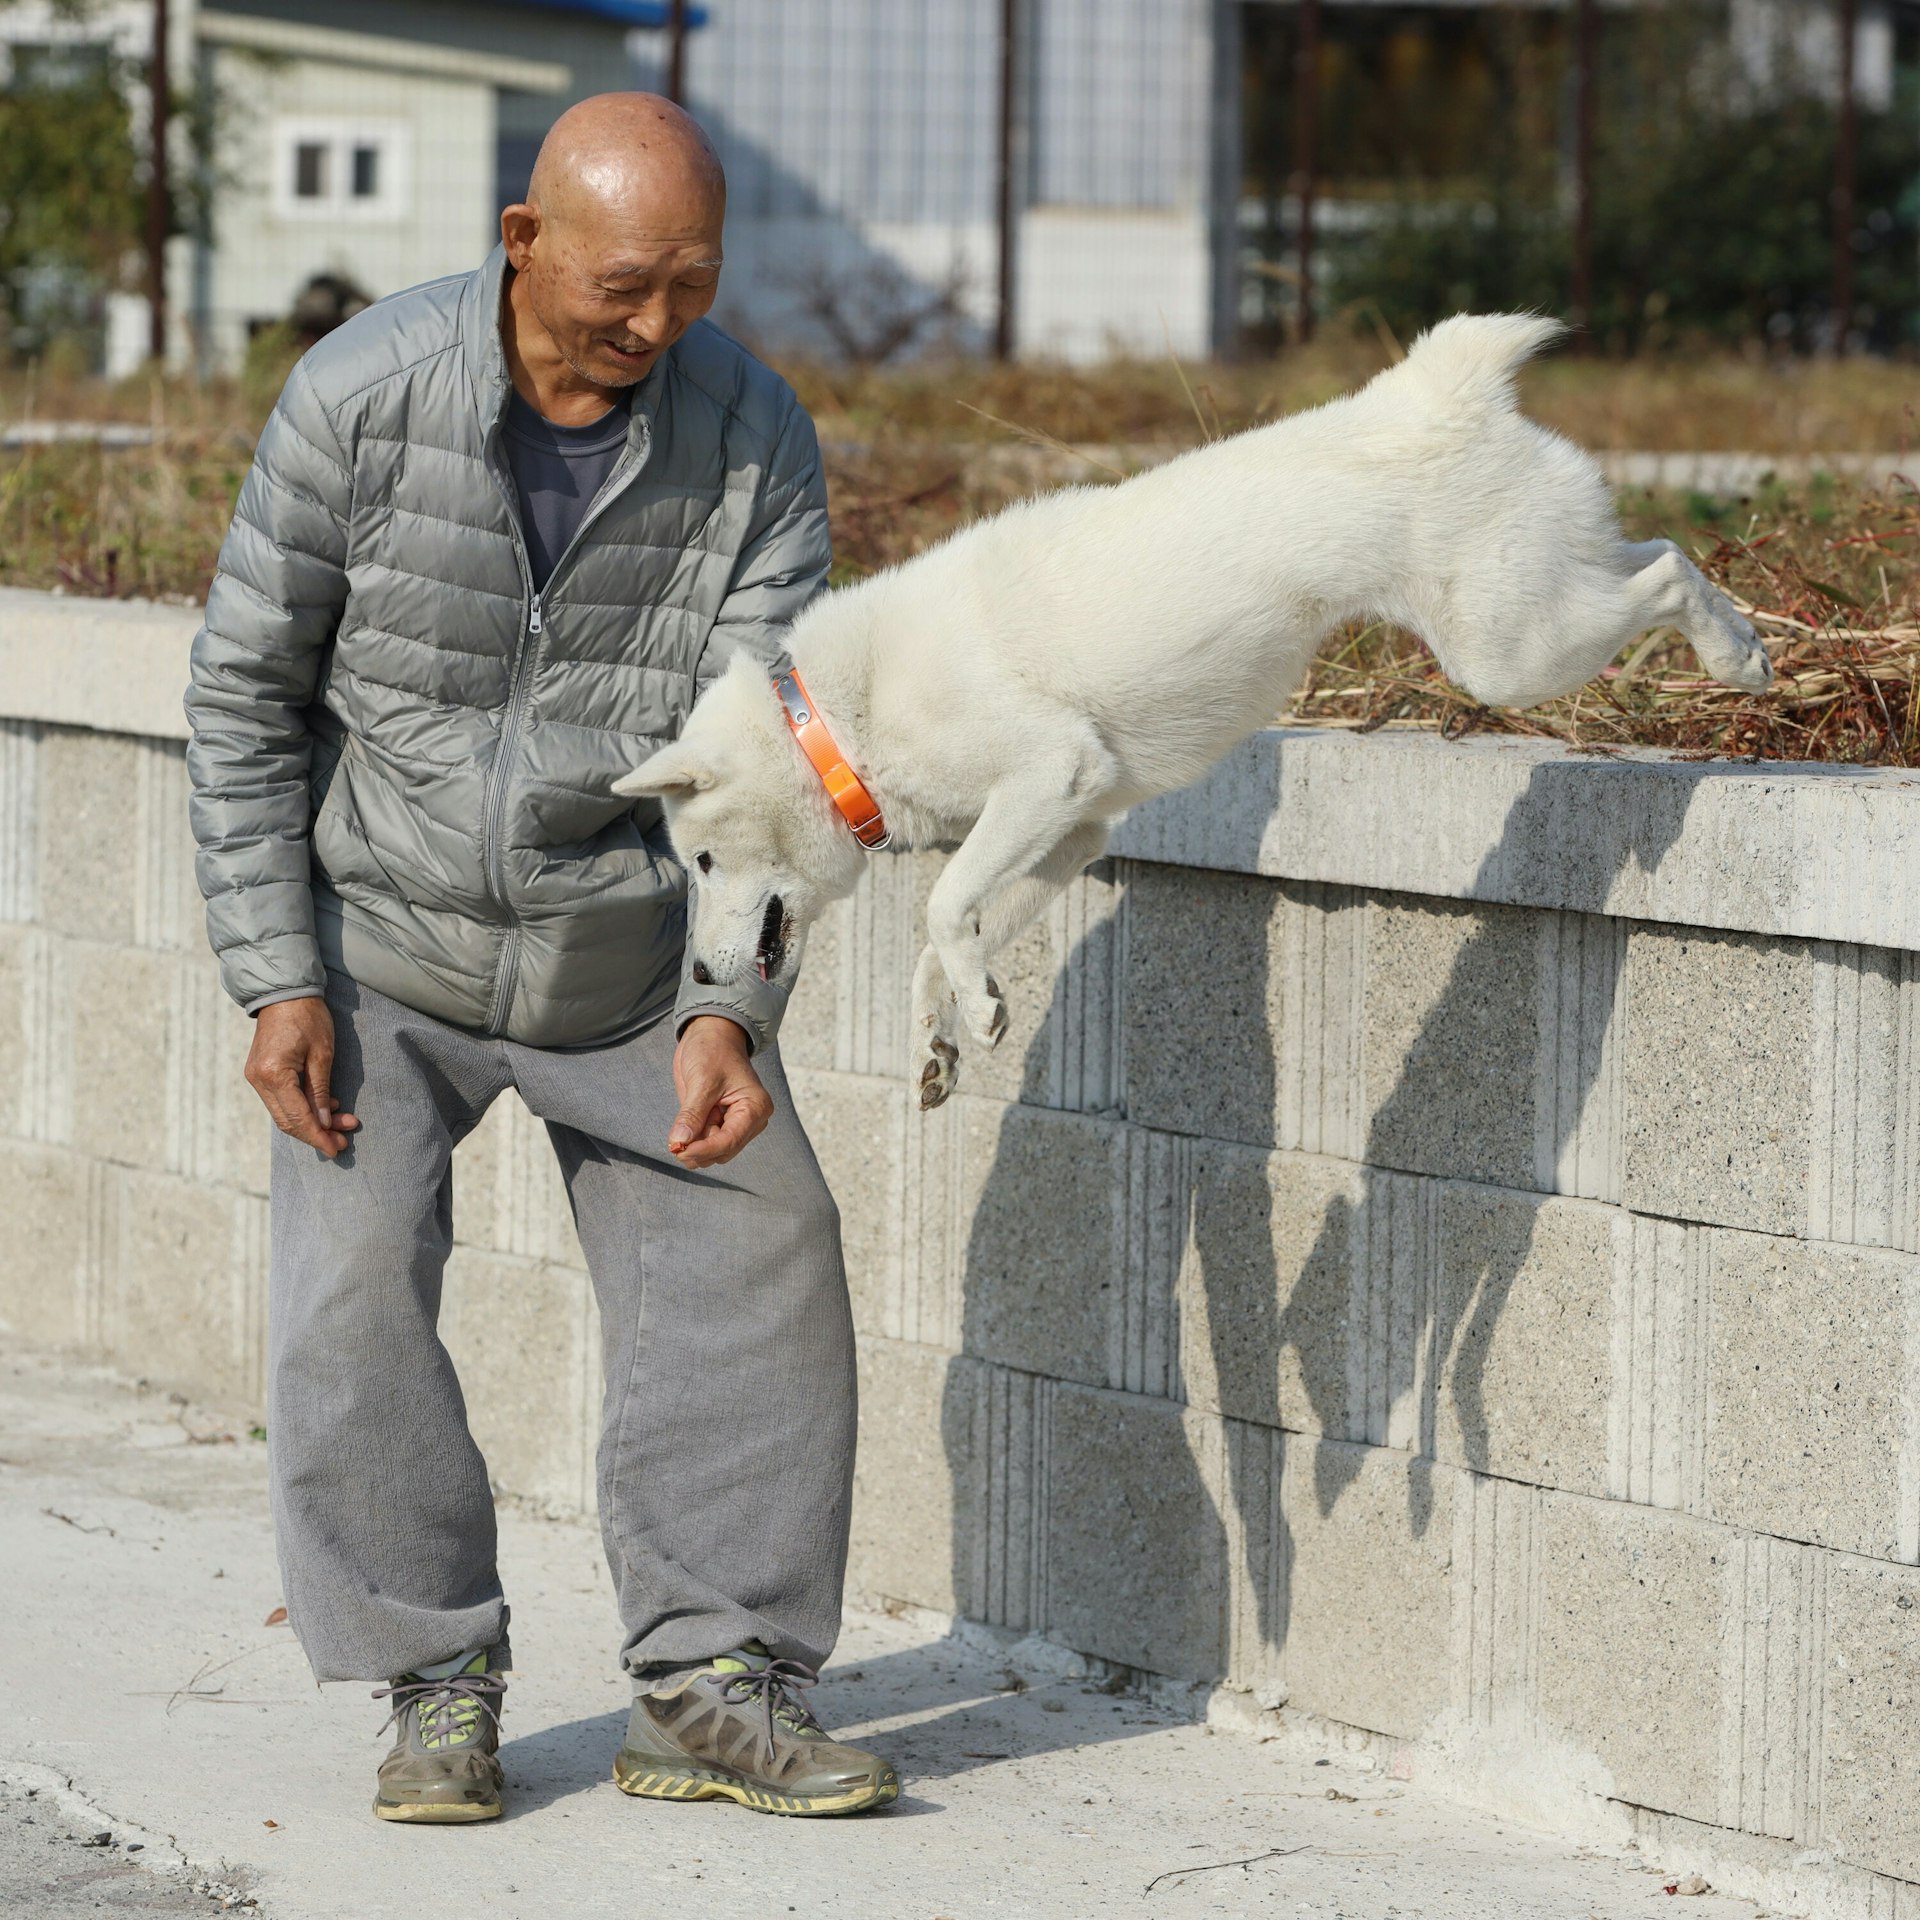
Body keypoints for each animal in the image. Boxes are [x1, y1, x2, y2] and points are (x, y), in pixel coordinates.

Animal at [614, 314, 1766, 1113]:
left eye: (702, 862)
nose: (703, 977)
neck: (835, 727)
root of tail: (1439, 387)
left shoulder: (1050, 775)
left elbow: (940, 905)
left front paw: (969, 1009)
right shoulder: (1072, 829)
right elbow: (950, 934)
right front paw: (951, 1032)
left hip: (1508, 652)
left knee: (1667, 572)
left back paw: (1743, 657)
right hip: (1540, 597)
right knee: (1651, 551)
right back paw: (1743, 641)